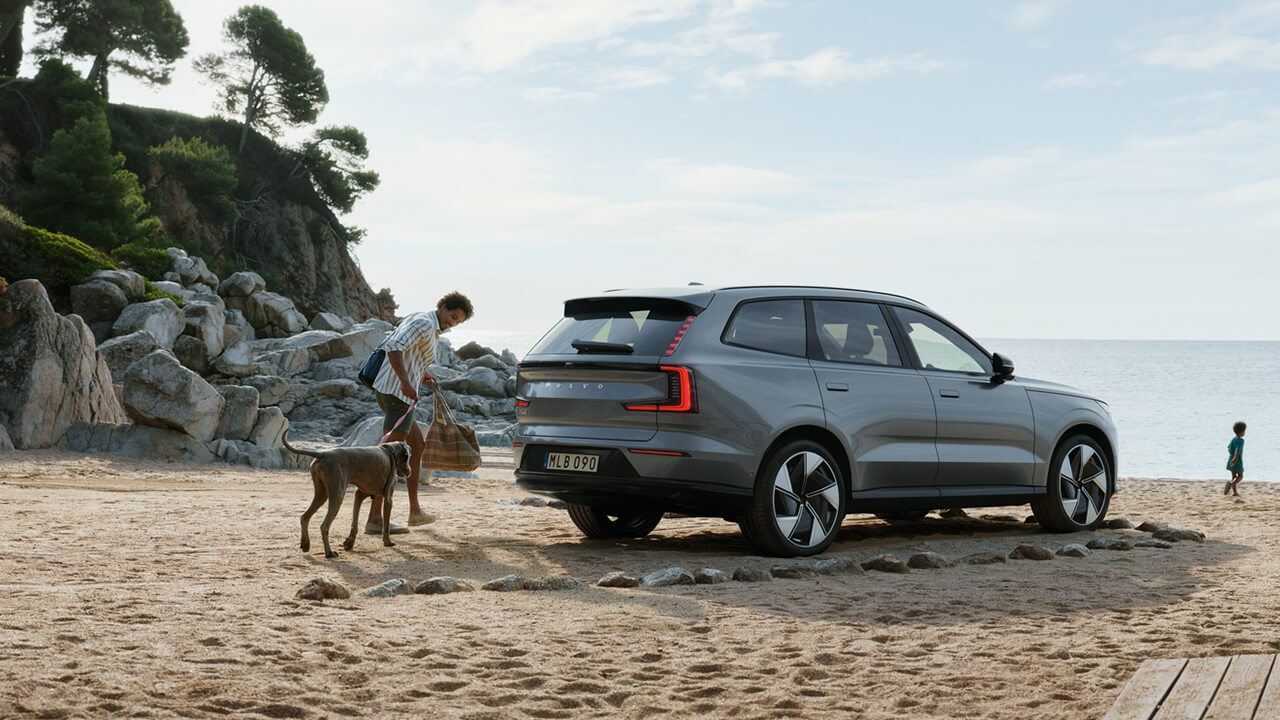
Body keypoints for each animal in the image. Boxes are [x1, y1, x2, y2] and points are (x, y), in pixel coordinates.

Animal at [281, 427, 409, 558]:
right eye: (409, 457)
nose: (409, 471)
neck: (391, 450)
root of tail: (323, 454)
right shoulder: (388, 499)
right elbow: (386, 526)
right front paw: (388, 542)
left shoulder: (359, 495)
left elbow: (355, 522)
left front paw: (349, 542)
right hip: (337, 495)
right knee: (324, 526)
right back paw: (329, 552)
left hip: (321, 495)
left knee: (304, 517)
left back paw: (305, 544)